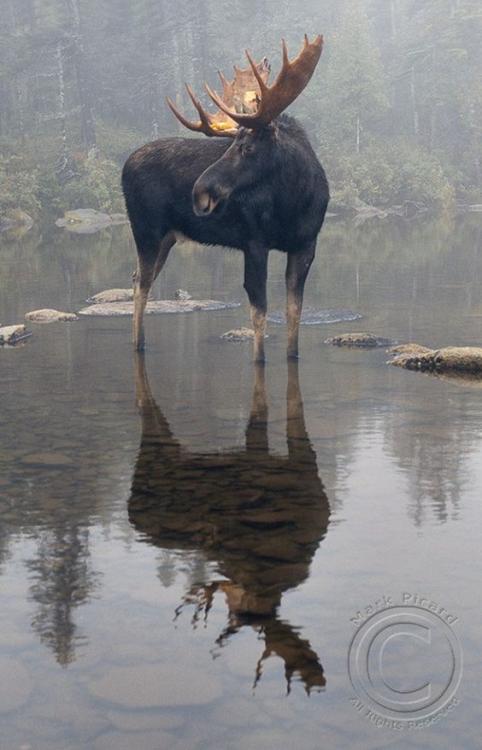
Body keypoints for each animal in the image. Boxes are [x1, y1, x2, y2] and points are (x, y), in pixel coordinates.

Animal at [122, 35, 329, 361]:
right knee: (142, 284)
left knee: (137, 278)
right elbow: (259, 314)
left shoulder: (306, 244)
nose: (199, 191)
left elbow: (294, 316)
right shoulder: (254, 242)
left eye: (246, 147)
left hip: (168, 237)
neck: (296, 203)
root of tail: (124, 166)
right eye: (231, 144)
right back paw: (137, 343)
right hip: (146, 230)